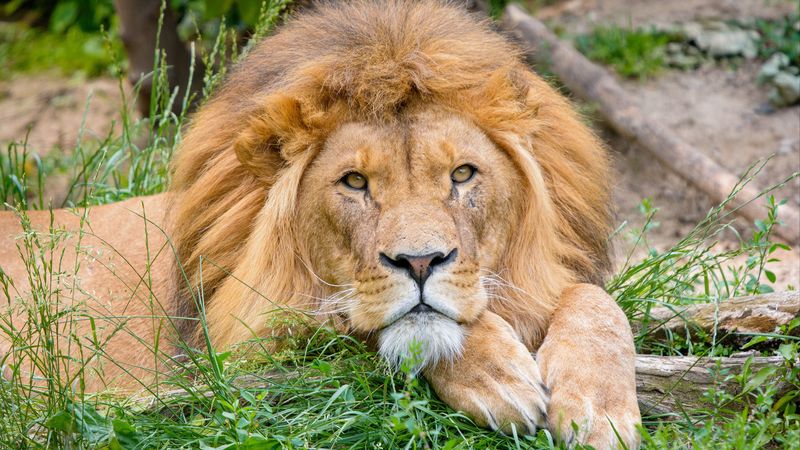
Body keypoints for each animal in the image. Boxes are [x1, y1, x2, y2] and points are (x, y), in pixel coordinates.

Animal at [0, 1, 641, 448]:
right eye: (354, 182)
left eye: (462, 174)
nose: (420, 263)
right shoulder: (246, 345)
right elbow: (369, 324)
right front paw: (499, 379)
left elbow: (597, 302)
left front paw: (598, 413)